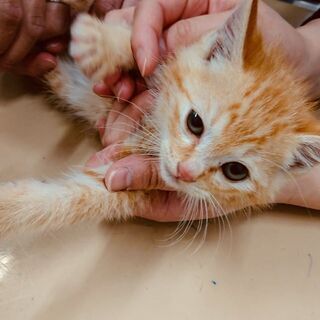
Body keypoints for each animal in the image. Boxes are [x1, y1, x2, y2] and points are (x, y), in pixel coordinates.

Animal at [0, 0, 320, 236]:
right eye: (195, 122)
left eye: (235, 171)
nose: (185, 172)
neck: (151, 126)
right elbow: (148, 46)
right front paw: (101, 43)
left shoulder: (124, 183)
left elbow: (71, 201)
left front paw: (7, 208)